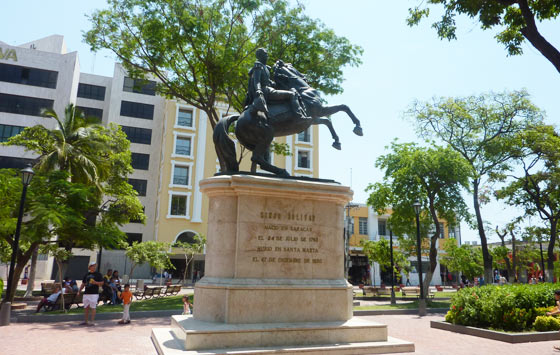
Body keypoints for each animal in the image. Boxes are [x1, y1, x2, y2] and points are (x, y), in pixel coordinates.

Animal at [214, 61, 364, 178]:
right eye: (291, 66)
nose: (304, 75)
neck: (303, 89)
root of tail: (238, 118)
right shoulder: (320, 110)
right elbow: (344, 107)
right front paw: (358, 128)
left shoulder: (312, 119)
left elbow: (328, 121)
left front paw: (337, 141)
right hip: (267, 135)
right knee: (256, 157)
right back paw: (282, 172)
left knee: (259, 159)